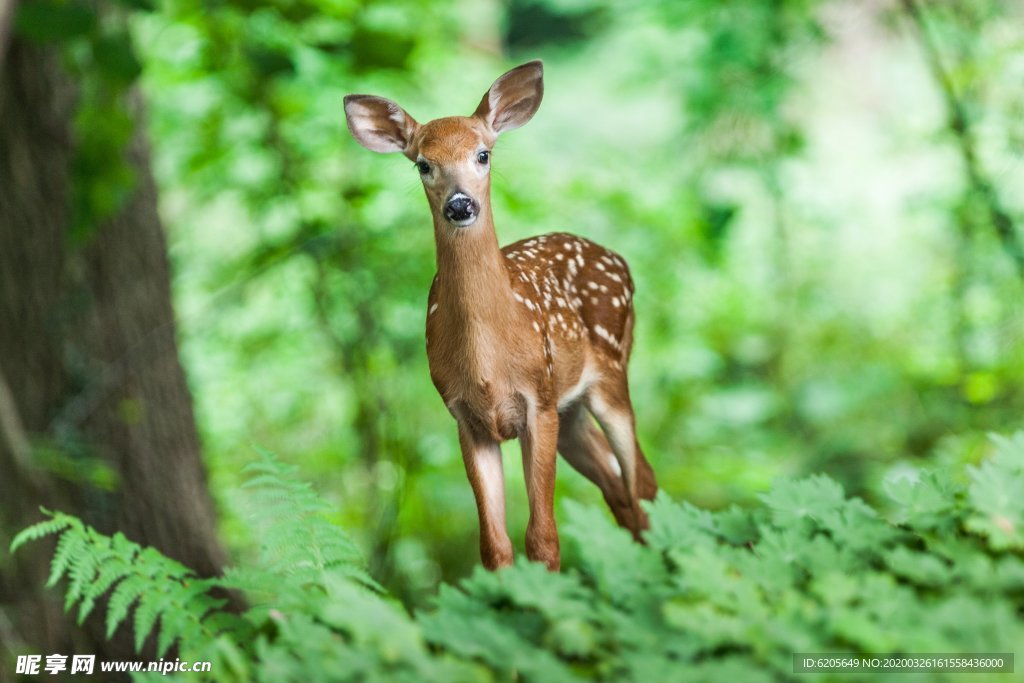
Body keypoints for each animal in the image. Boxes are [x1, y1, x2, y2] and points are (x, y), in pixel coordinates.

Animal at [346, 61, 655, 573]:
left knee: (641, 482)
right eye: (423, 164)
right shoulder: (465, 417)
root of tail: (620, 261)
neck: (489, 361)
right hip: (571, 410)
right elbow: (494, 546)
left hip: (610, 373)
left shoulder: (538, 401)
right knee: (619, 488)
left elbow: (543, 539)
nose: (460, 204)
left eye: (483, 154)